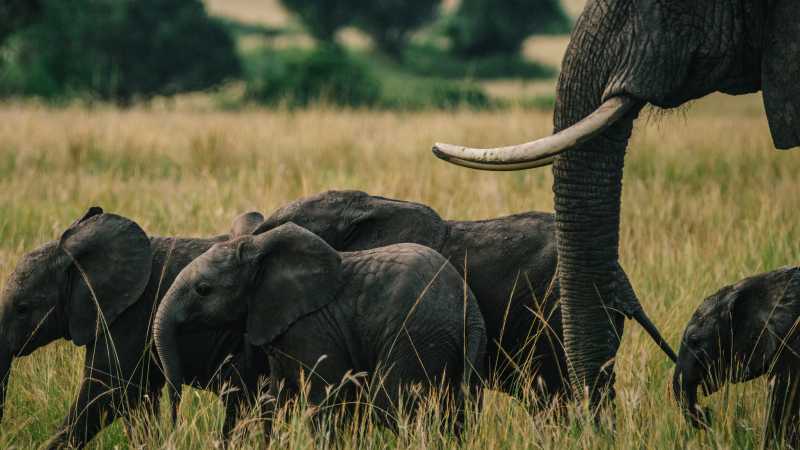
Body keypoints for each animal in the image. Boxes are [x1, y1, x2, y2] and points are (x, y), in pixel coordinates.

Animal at [153, 223, 487, 437]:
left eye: (203, 289)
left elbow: (325, 399)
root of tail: (470, 309)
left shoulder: (312, 328)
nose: (174, 426)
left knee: (391, 404)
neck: (262, 251)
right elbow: (274, 398)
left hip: (417, 333)